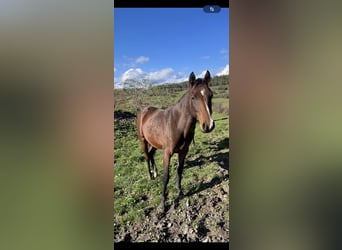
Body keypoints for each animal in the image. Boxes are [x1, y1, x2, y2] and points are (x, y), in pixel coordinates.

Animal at [136, 70, 214, 213]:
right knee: (147, 156)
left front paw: (180, 192)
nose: (208, 125)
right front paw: (162, 205)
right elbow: (166, 177)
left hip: (154, 143)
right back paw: (150, 175)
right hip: (143, 141)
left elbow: (179, 171)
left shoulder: (183, 152)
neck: (177, 124)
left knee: (151, 154)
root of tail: (144, 111)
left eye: (211, 95)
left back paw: (155, 172)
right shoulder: (167, 153)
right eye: (193, 97)